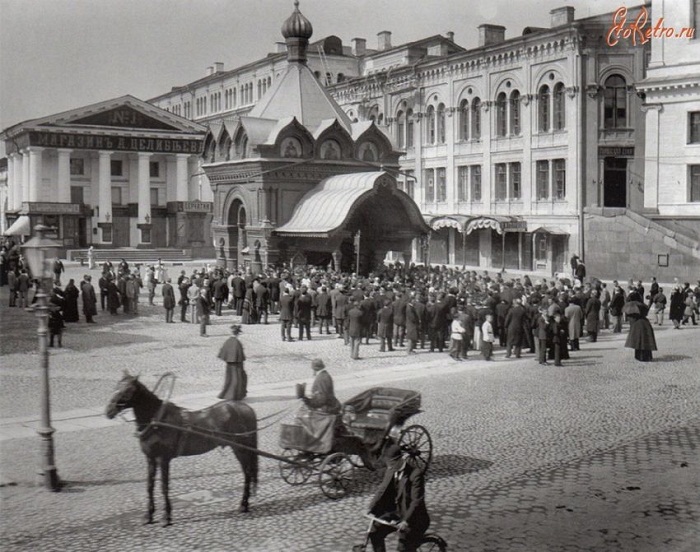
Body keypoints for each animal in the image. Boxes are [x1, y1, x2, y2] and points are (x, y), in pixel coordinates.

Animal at [108, 370, 262, 528]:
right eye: (116, 386)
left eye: (128, 390)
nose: (109, 411)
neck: (157, 421)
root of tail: (245, 408)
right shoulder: (150, 458)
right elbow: (150, 486)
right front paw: (149, 515)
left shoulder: (163, 459)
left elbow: (164, 486)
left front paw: (167, 516)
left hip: (240, 449)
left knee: (247, 473)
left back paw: (244, 504)